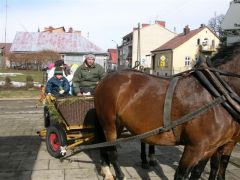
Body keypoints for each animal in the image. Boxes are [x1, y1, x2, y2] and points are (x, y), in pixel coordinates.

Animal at [94, 51, 239, 179]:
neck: (215, 94)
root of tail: (104, 78)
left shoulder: (213, 147)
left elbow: (200, 172)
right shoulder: (195, 147)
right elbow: (181, 174)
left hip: (118, 123)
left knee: (105, 146)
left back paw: (106, 171)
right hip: (108, 123)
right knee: (111, 150)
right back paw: (118, 174)